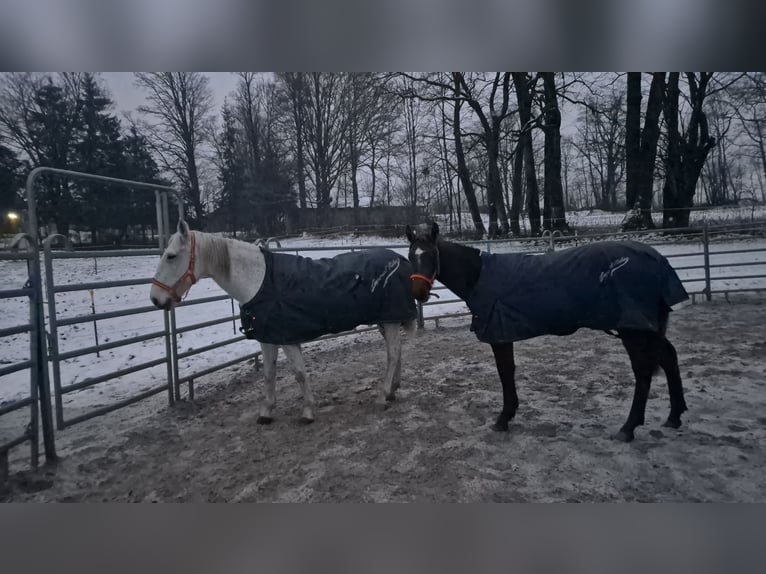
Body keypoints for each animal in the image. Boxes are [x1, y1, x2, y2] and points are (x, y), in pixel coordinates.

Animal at [149, 223, 414, 426]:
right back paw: (392, 391)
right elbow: (269, 374)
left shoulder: (287, 338)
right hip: (386, 321)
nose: (155, 299)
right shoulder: (268, 338)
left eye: (171, 256)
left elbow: (299, 374)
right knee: (397, 352)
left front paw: (307, 412)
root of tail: (400, 259)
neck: (258, 281)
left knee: (393, 354)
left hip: (390, 320)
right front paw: (266, 412)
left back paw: (382, 396)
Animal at [404, 223, 692, 444]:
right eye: (410, 256)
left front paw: (503, 418)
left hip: (633, 330)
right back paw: (674, 416)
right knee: (669, 358)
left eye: (430, 255)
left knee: (643, 373)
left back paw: (628, 428)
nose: (418, 293)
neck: (478, 276)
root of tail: (658, 260)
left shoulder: (500, 335)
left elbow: (505, 373)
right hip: (648, 329)